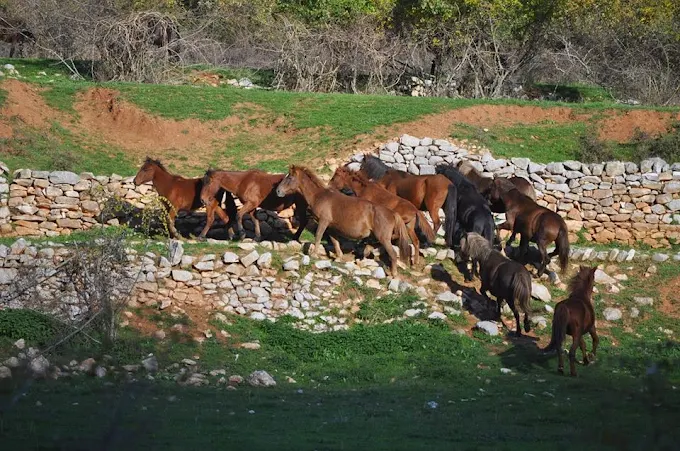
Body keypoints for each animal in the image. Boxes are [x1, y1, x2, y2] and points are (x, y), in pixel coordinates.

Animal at [276, 165, 411, 276]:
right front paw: (339, 257)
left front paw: (313, 254)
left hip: (383, 238)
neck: (319, 196)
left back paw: (393, 274)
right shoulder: (331, 227)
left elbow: (318, 236)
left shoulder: (323, 221)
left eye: (290, 178)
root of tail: (393, 213)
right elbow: (335, 241)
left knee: (392, 254)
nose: (278, 191)